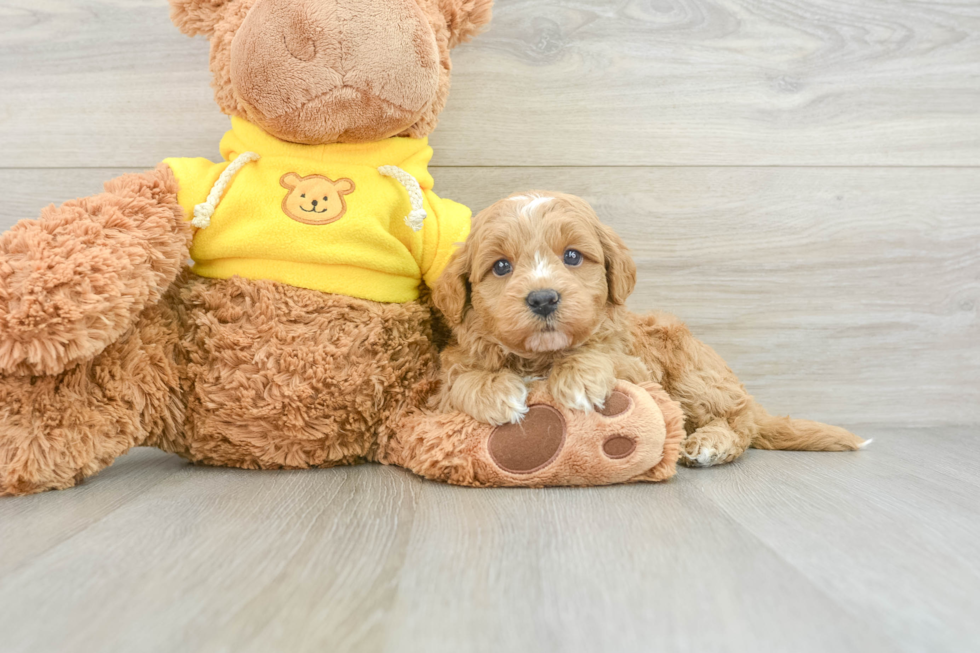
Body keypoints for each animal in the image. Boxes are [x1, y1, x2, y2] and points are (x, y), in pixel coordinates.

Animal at [434, 191, 864, 466]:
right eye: (501, 266)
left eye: (572, 256)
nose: (543, 298)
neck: (542, 356)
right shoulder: (443, 383)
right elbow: (457, 378)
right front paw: (495, 391)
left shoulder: (638, 367)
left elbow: (601, 354)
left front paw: (579, 378)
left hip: (690, 372)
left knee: (739, 421)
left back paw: (710, 444)